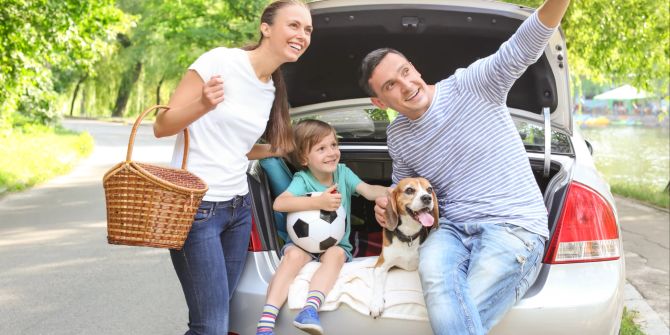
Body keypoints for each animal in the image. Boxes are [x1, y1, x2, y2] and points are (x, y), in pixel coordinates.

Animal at [368, 177, 440, 318]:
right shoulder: (380, 265)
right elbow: (378, 283)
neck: (409, 236)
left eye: (429, 189)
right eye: (409, 190)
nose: (427, 198)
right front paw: (376, 303)